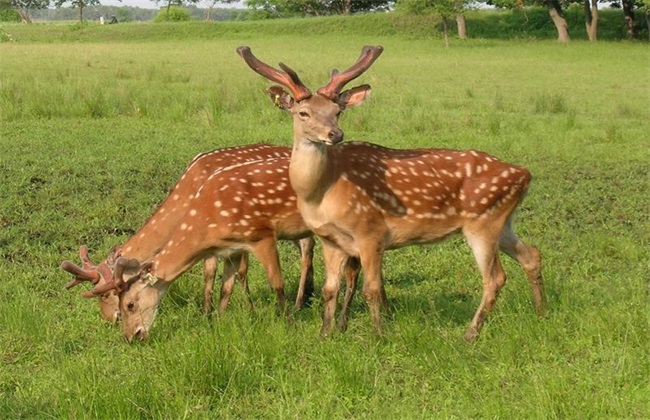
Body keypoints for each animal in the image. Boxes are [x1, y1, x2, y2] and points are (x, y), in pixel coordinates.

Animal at [68, 156, 362, 342]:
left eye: (128, 303)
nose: (129, 336)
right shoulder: (228, 248)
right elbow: (224, 284)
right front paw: (215, 319)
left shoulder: (261, 235)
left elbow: (273, 282)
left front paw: (286, 323)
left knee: (324, 260)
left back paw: (313, 307)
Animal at [235, 46, 544, 342]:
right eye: (303, 113)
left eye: (337, 111)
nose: (335, 134)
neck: (321, 193)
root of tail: (524, 174)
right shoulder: (330, 239)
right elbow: (329, 289)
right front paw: (324, 334)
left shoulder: (370, 231)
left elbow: (371, 289)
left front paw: (379, 335)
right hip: (502, 221)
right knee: (531, 254)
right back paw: (542, 312)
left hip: (483, 222)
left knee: (495, 278)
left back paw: (470, 334)